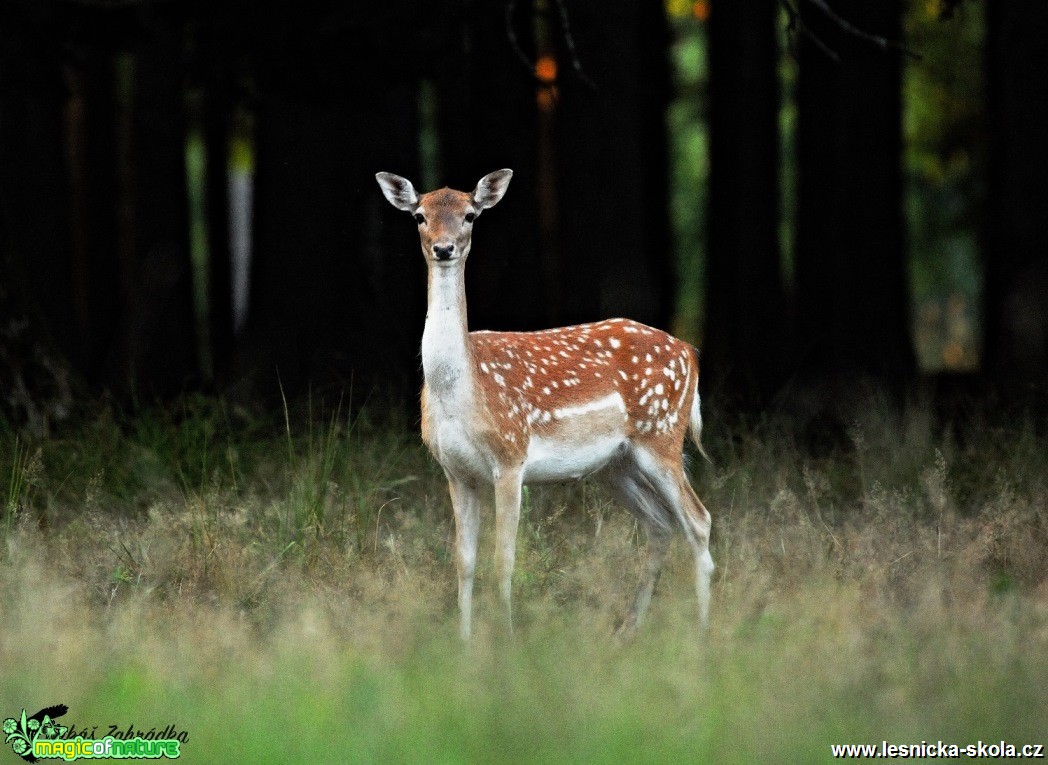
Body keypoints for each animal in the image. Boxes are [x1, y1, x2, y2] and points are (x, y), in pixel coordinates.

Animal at [375, 168, 712, 637]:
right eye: (419, 216)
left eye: (470, 214)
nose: (444, 248)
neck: (462, 392)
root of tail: (689, 352)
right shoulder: (455, 470)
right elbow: (464, 562)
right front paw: (464, 643)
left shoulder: (510, 457)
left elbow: (504, 560)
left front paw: (507, 639)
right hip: (617, 464)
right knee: (661, 525)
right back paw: (627, 631)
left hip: (661, 436)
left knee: (698, 521)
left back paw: (701, 635)